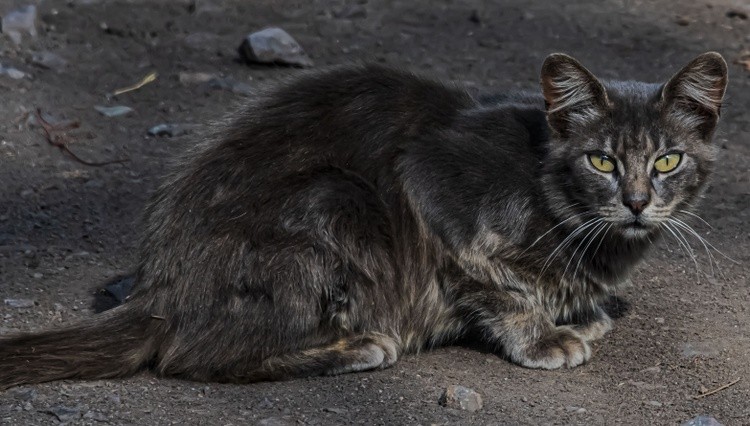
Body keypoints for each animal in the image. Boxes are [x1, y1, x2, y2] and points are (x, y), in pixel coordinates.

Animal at [0, 51, 728, 388]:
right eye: (602, 160)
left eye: (666, 160)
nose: (636, 200)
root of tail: (161, 286)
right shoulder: (433, 186)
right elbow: (497, 286)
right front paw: (549, 335)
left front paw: (588, 309)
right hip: (339, 200)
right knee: (195, 354)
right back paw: (357, 346)